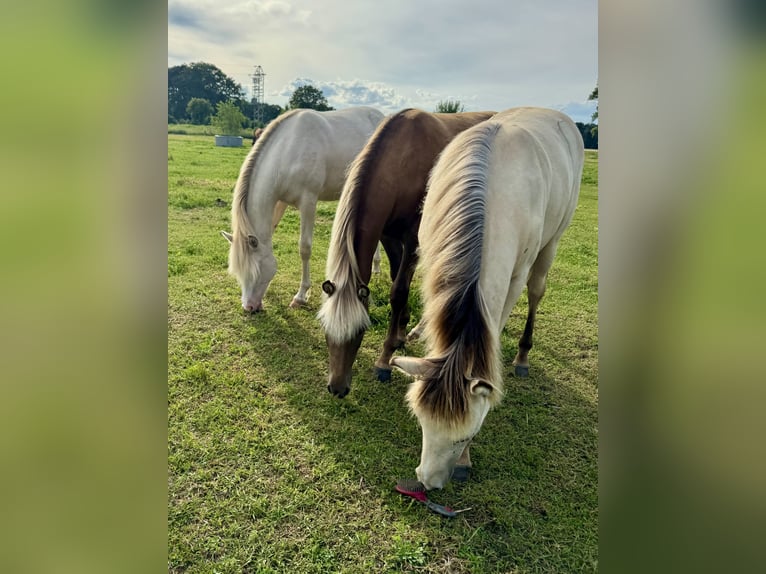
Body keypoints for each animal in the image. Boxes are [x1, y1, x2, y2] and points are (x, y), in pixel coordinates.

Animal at [221, 106, 384, 312]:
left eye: (254, 270)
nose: (249, 307)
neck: (289, 150)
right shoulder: (280, 202)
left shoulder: (308, 202)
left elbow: (304, 248)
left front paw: (301, 296)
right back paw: (376, 269)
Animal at [317, 108, 495, 398]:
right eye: (325, 327)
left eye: (361, 330)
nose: (337, 388)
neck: (400, 161)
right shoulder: (388, 235)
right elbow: (395, 278)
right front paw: (401, 331)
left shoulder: (413, 239)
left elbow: (398, 291)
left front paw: (385, 358)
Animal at [391, 107, 584, 490]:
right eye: (420, 422)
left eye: (467, 436)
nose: (429, 483)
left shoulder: (515, 275)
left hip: (552, 242)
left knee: (537, 291)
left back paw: (523, 355)